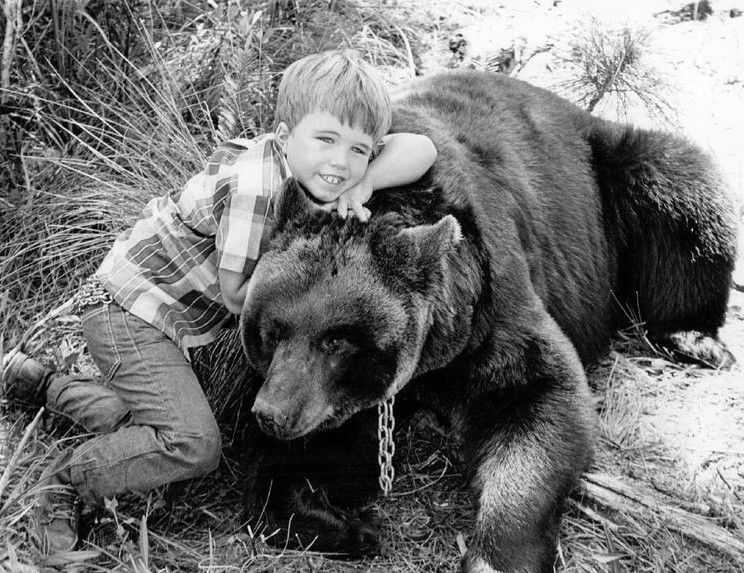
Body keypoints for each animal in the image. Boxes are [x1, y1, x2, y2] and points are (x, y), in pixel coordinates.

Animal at [224, 70, 736, 572]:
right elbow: (316, 457)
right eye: (271, 332)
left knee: (684, 193)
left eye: (337, 341)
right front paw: (347, 525)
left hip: (616, 176)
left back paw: (695, 339)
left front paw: (494, 553)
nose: (273, 413)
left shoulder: (488, 303)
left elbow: (539, 397)